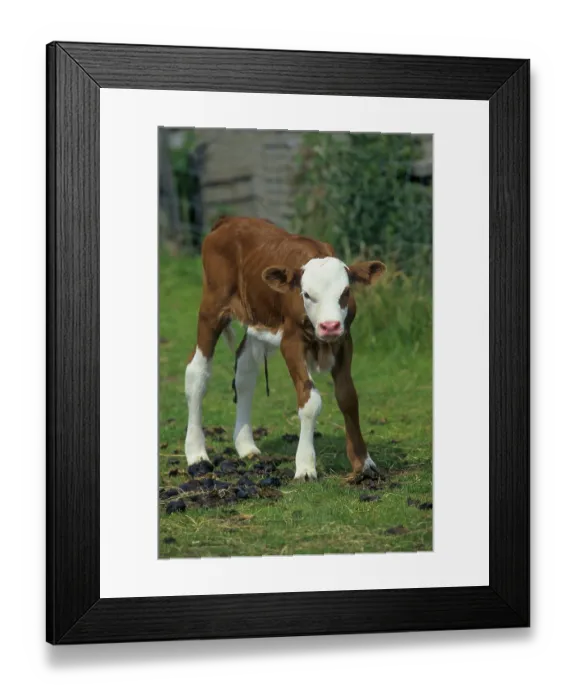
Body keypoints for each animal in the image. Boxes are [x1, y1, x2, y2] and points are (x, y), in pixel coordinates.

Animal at [184, 216, 386, 481]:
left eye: (345, 292)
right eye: (307, 294)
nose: (330, 326)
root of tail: (229, 219)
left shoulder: (344, 340)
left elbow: (348, 397)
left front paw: (363, 462)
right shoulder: (291, 342)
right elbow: (310, 400)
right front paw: (305, 466)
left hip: (257, 319)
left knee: (245, 373)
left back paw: (245, 445)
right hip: (212, 307)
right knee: (197, 373)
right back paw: (196, 453)